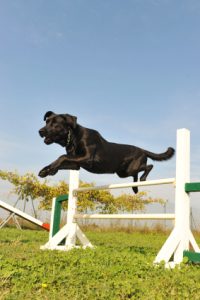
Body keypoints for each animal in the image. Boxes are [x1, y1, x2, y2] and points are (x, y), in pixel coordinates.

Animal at [38, 111, 174, 193]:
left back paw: (143, 179)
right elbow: (63, 160)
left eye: (55, 123)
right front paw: (46, 170)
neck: (73, 137)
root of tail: (142, 150)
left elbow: (62, 157)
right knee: (138, 173)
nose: (40, 131)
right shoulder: (76, 164)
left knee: (149, 166)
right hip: (123, 172)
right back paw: (135, 188)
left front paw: (51, 169)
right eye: (47, 122)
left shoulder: (87, 158)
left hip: (130, 169)